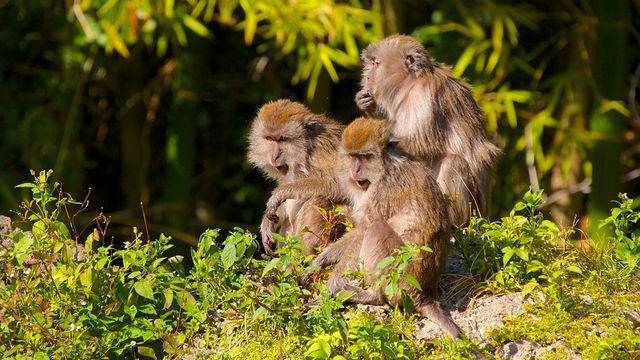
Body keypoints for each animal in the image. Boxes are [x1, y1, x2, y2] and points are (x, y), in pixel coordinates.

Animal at [248, 98, 348, 256]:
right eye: (269, 139)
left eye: (282, 139)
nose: (274, 157)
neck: (306, 149)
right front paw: (267, 224)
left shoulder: (324, 150)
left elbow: (341, 185)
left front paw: (278, 194)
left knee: (319, 199)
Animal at [302, 118, 462, 340]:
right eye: (353, 156)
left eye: (365, 157)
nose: (356, 170)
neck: (386, 165)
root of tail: (422, 294)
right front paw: (321, 260)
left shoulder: (383, 189)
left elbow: (364, 229)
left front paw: (332, 284)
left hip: (399, 277)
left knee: (376, 228)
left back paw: (373, 296)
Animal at [356, 33, 500, 225]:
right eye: (371, 62)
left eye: (376, 63)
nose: (368, 77)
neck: (410, 84)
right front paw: (368, 106)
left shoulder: (424, 95)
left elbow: (421, 145)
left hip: (473, 211)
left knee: (453, 163)